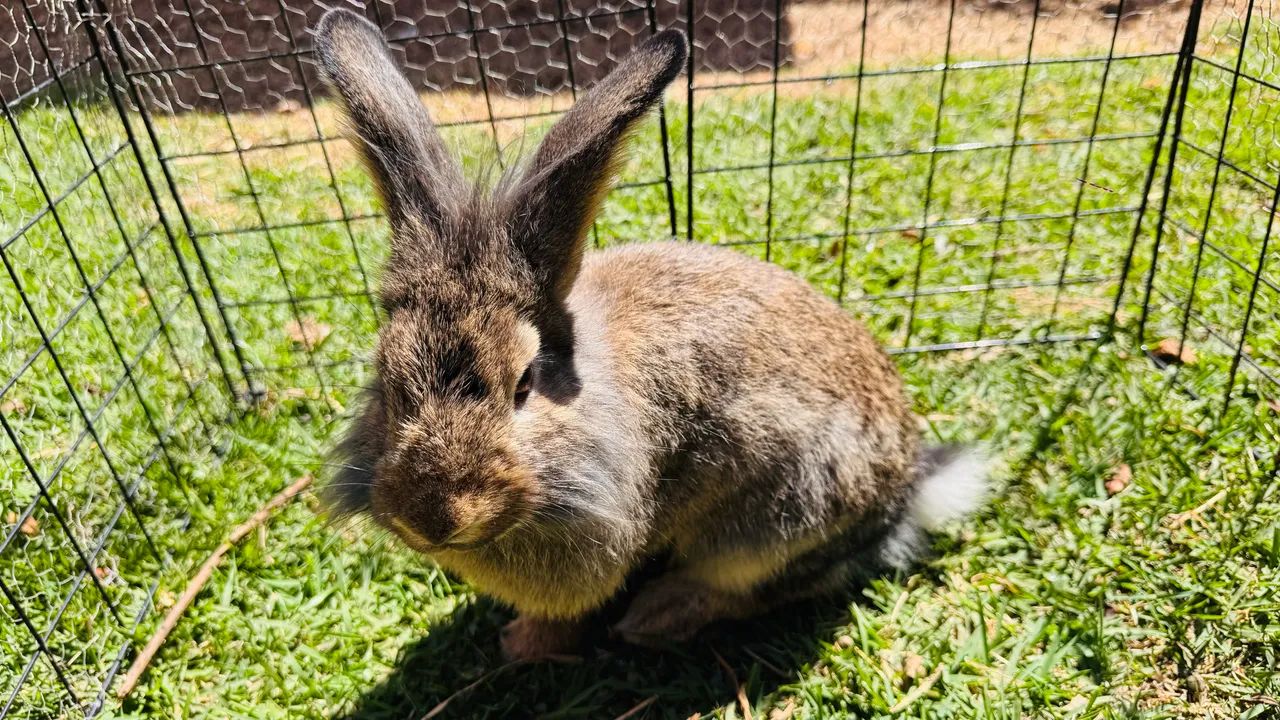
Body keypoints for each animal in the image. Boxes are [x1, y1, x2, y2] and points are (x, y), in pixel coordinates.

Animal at [314, 8, 988, 661]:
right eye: (387, 381)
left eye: (524, 384)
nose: (434, 517)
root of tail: (908, 491)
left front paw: (525, 645)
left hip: (781, 517)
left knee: (751, 586)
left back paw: (656, 616)